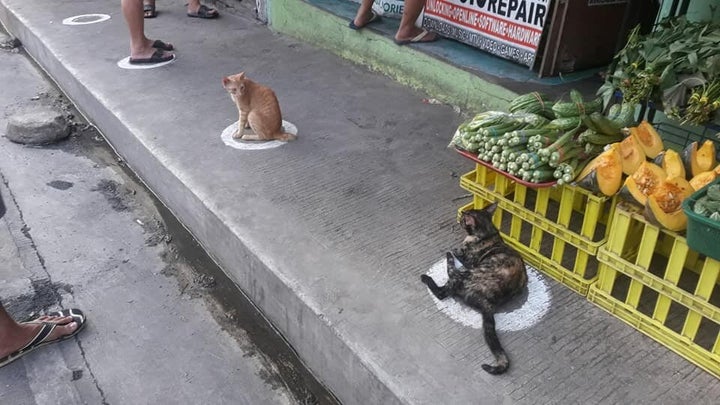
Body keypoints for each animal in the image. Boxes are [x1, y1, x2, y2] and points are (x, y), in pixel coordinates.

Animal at [422, 204, 528, 374]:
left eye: (464, 219)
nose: (459, 218)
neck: (487, 232)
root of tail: (488, 302)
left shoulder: (467, 260)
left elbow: (458, 252)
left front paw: (452, 250)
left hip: (466, 273)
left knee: (442, 291)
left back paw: (429, 274)